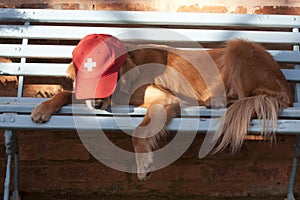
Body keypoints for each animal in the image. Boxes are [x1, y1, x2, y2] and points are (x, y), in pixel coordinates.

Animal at [29, 37, 290, 180]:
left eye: (109, 74)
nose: (96, 104)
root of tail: (285, 83)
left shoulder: (164, 98)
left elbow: (140, 131)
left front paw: (143, 163)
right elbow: (66, 92)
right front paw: (43, 107)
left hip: (240, 48)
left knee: (252, 96)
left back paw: (218, 101)